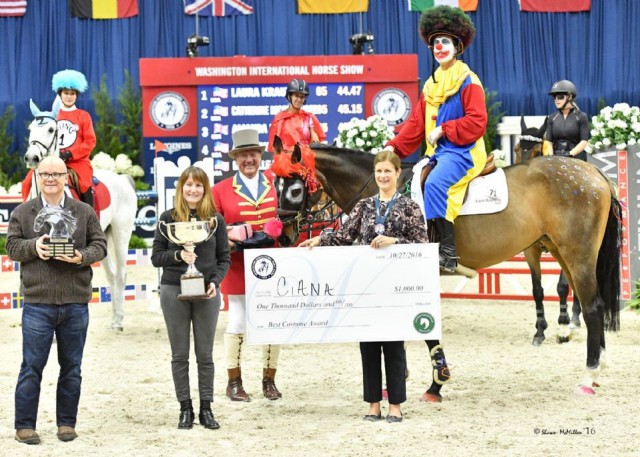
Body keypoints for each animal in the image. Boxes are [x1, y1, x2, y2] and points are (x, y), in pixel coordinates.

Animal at [274, 143, 620, 396]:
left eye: (295, 190)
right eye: (273, 183)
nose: (283, 235)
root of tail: (594, 173)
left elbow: (425, 329)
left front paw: (437, 380)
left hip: (577, 254)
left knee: (592, 307)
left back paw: (589, 375)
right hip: (561, 252)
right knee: (590, 304)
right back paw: (597, 367)